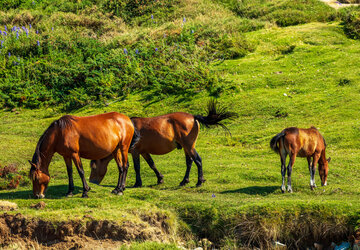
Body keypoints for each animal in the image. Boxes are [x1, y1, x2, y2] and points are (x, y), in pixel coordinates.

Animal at [89, 99, 238, 188]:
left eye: (93, 167)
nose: (91, 181)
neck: (126, 129)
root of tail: (193, 116)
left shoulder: (135, 152)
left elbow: (137, 167)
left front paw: (138, 183)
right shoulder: (144, 151)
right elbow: (152, 164)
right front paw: (160, 179)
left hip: (189, 146)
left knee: (197, 160)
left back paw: (199, 181)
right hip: (186, 147)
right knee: (189, 162)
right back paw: (184, 181)